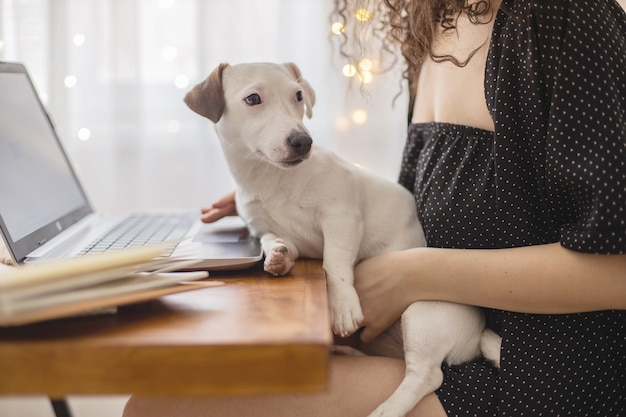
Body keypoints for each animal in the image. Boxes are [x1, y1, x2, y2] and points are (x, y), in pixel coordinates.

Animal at [184, 61, 498, 416]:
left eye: (298, 96)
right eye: (253, 99)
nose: (302, 141)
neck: (269, 177)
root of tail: (478, 336)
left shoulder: (341, 216)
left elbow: (334, 264)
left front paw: (343, 307)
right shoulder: (266, 227)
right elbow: (273, 241)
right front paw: (278, 255)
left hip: (423, 313)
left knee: (426, 376)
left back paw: (388, 408)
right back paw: (347, 353)